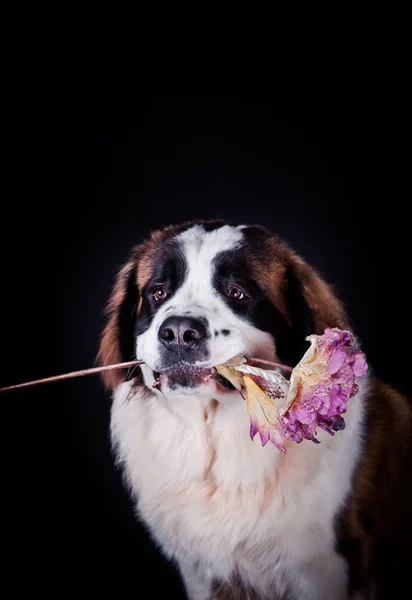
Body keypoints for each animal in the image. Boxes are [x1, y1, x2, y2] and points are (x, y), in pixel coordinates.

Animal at [97, 221, 412, 600]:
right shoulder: (201, 574)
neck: (218, 437)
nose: (179, 331)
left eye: (236, 293)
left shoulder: (322, 571)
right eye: (158, 293)